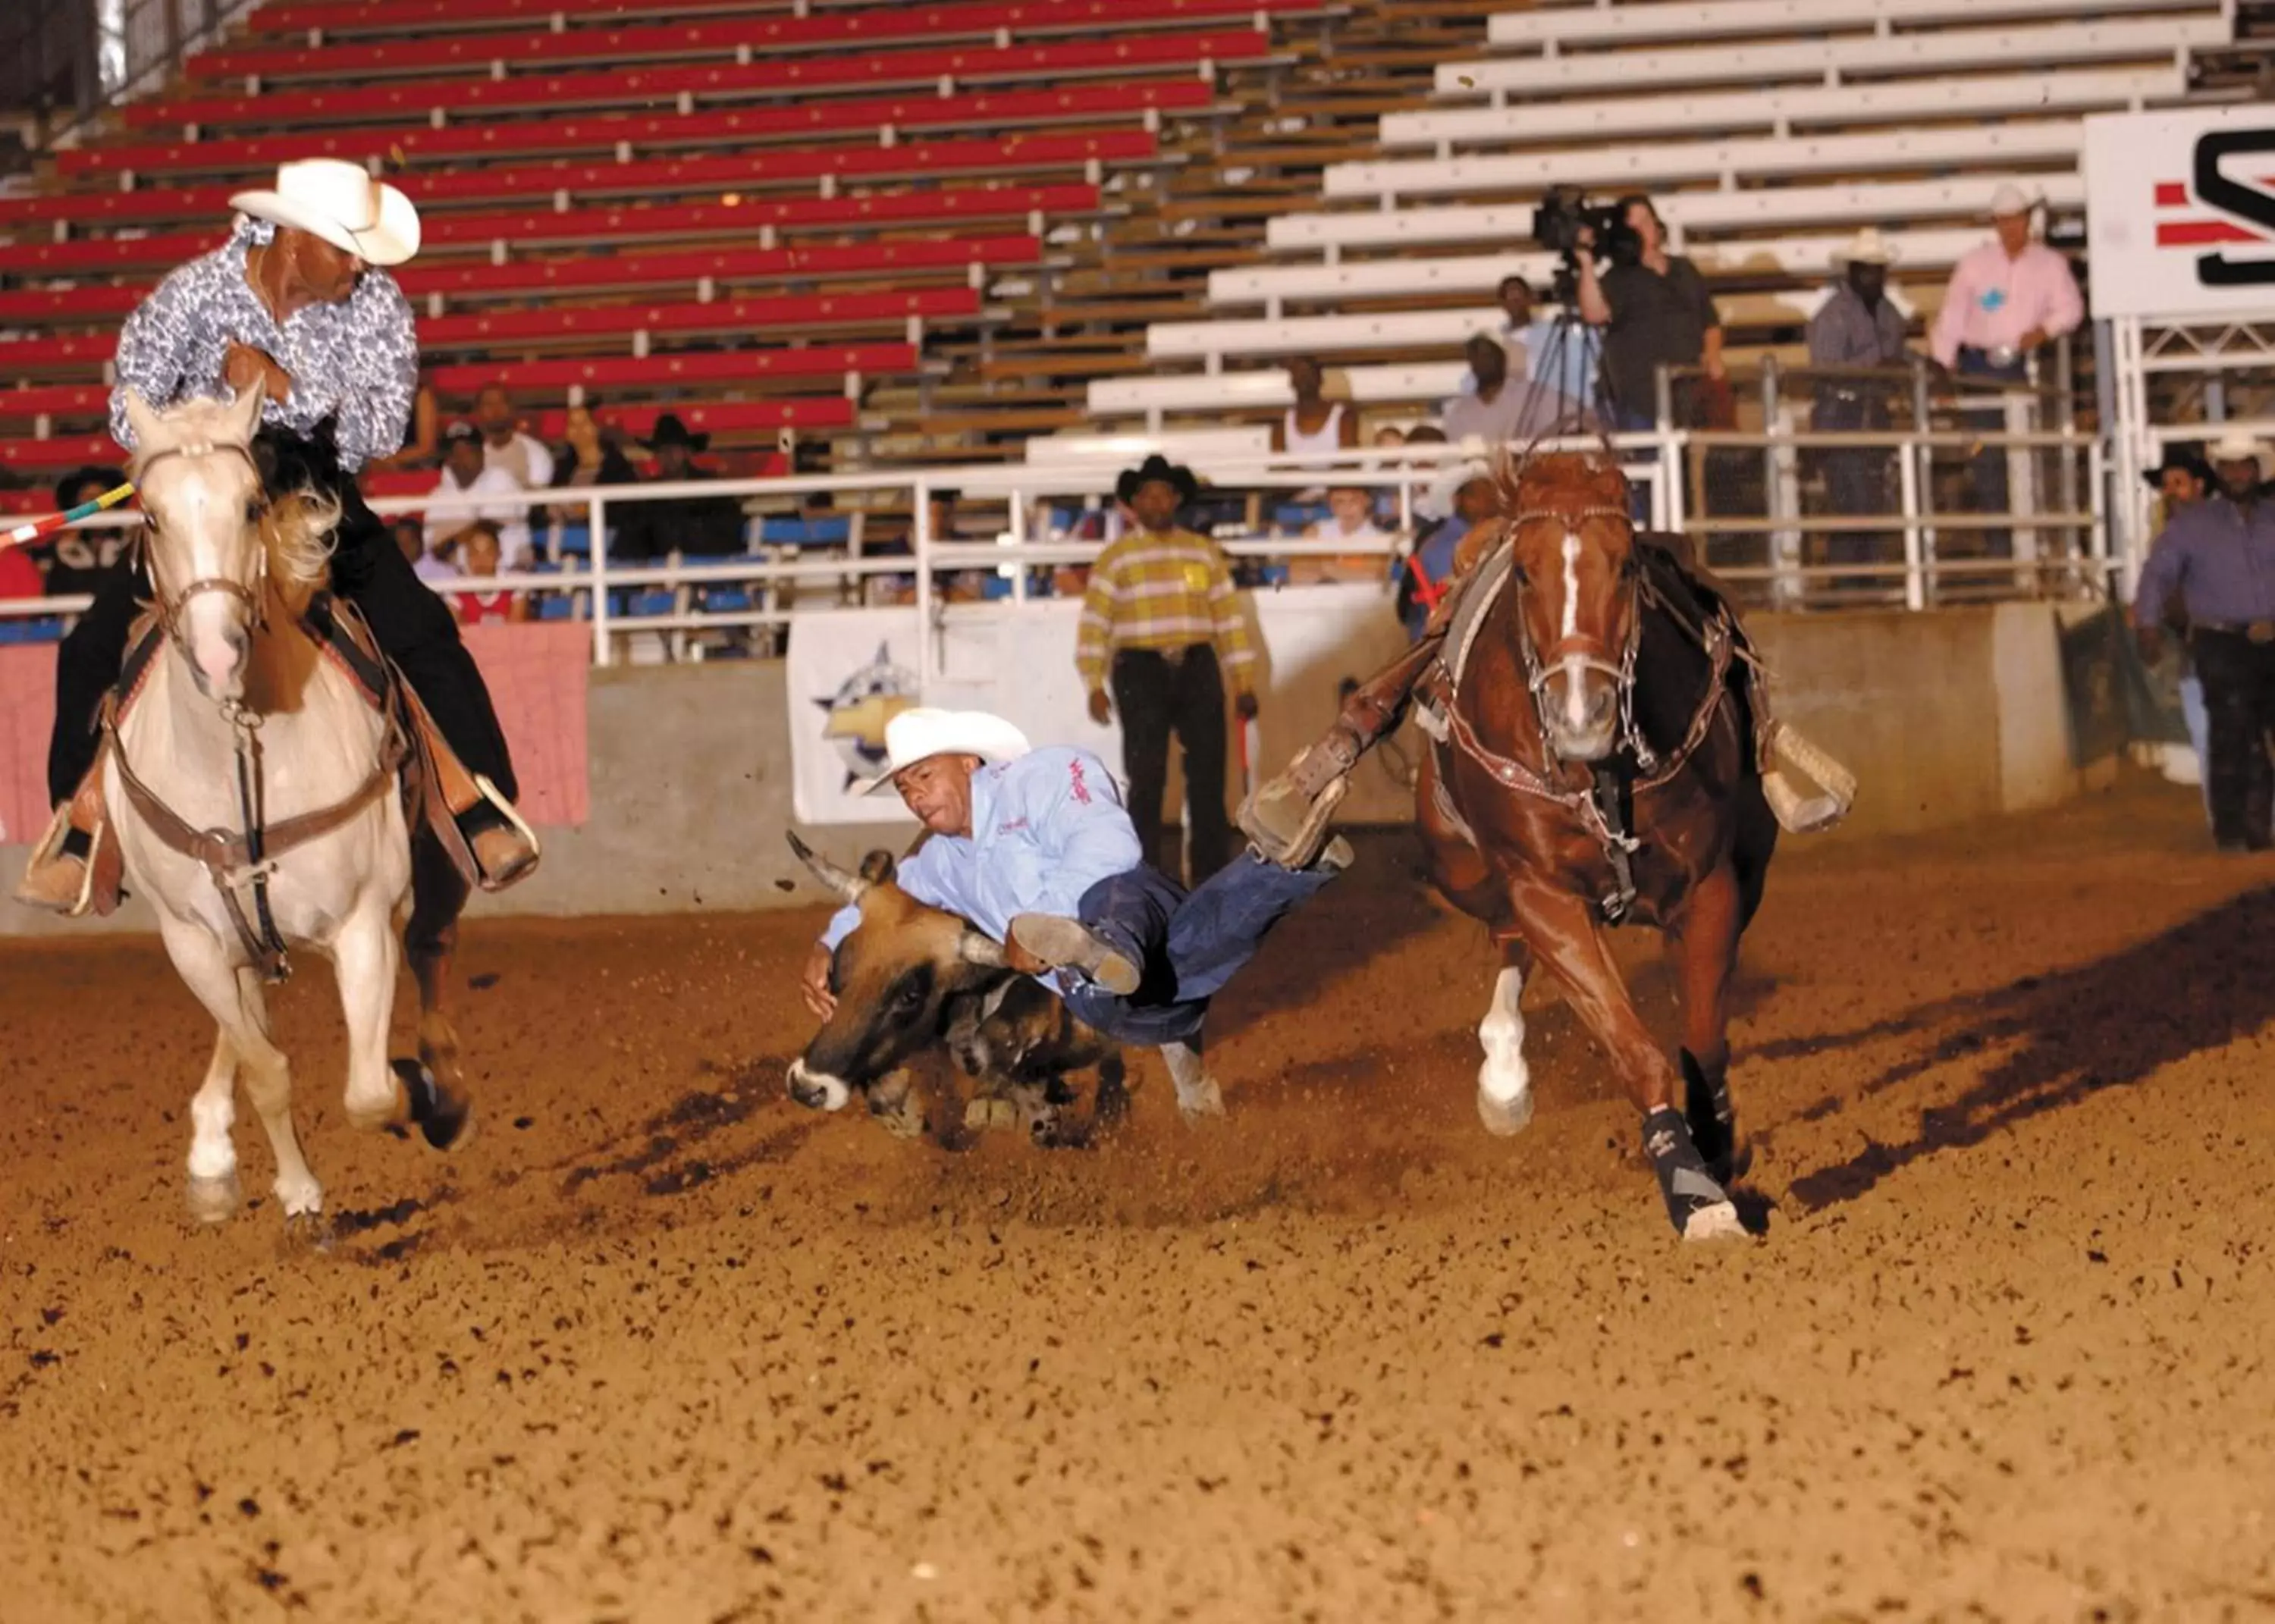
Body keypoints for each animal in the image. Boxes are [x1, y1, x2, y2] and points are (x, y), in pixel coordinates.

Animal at [109, 389, 471, 1228]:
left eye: (250, 506)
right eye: (151, 516)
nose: (217, 655)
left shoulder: (364, 922)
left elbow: (369, 1092)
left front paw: (415, 1089)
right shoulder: (193, 941)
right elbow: (266, 1067)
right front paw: (300, 1197)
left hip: (431, 863)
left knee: (431, 945)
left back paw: (440, 1083)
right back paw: (212, 1156)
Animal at [1420, 448, 1774, 1237]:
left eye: (1625, 567)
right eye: (1526, 573)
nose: (1581, 717)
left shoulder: (1711, 884)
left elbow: (1703, 1039)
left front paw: (1718, 1146)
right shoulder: (1542, 891)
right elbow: (1633, 1048)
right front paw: (1693, 1189)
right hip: (1461, 869)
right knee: (1508, 940)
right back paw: (1504, 1078)